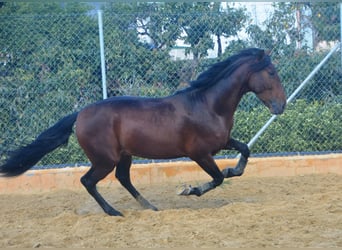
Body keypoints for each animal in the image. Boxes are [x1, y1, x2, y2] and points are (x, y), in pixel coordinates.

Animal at [0, 47, 286, 216]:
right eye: (271, 72)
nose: (281, 106)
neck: (207, 104)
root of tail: (79, 114)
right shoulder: (200, 153)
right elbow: (217, 179)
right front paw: (189, 190)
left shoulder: (221, 143)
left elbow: (244, 152)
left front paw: (231, 170)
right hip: (105, 159)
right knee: (88, 181)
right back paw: (114, 212)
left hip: (123, 155)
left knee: (123, 178)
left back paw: (148, 205)